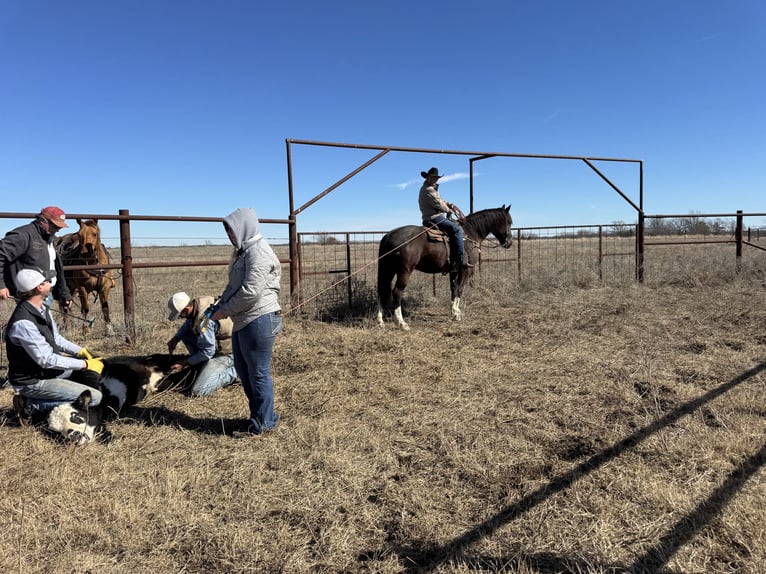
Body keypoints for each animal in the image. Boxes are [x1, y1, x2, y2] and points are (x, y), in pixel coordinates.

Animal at [376, 205, 513, 330]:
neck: (471, 233)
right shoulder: (465, 269)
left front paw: (454, 311)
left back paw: (380, 321)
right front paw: (457, 314)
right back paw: (402, 322)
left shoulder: (454, 270)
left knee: (382, 290)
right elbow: (460, 289)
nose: (509, 243)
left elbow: (453, 289)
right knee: (397, 292)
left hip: (387, 270)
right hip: (404, 271)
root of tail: (388, 236)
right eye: (509, 223)